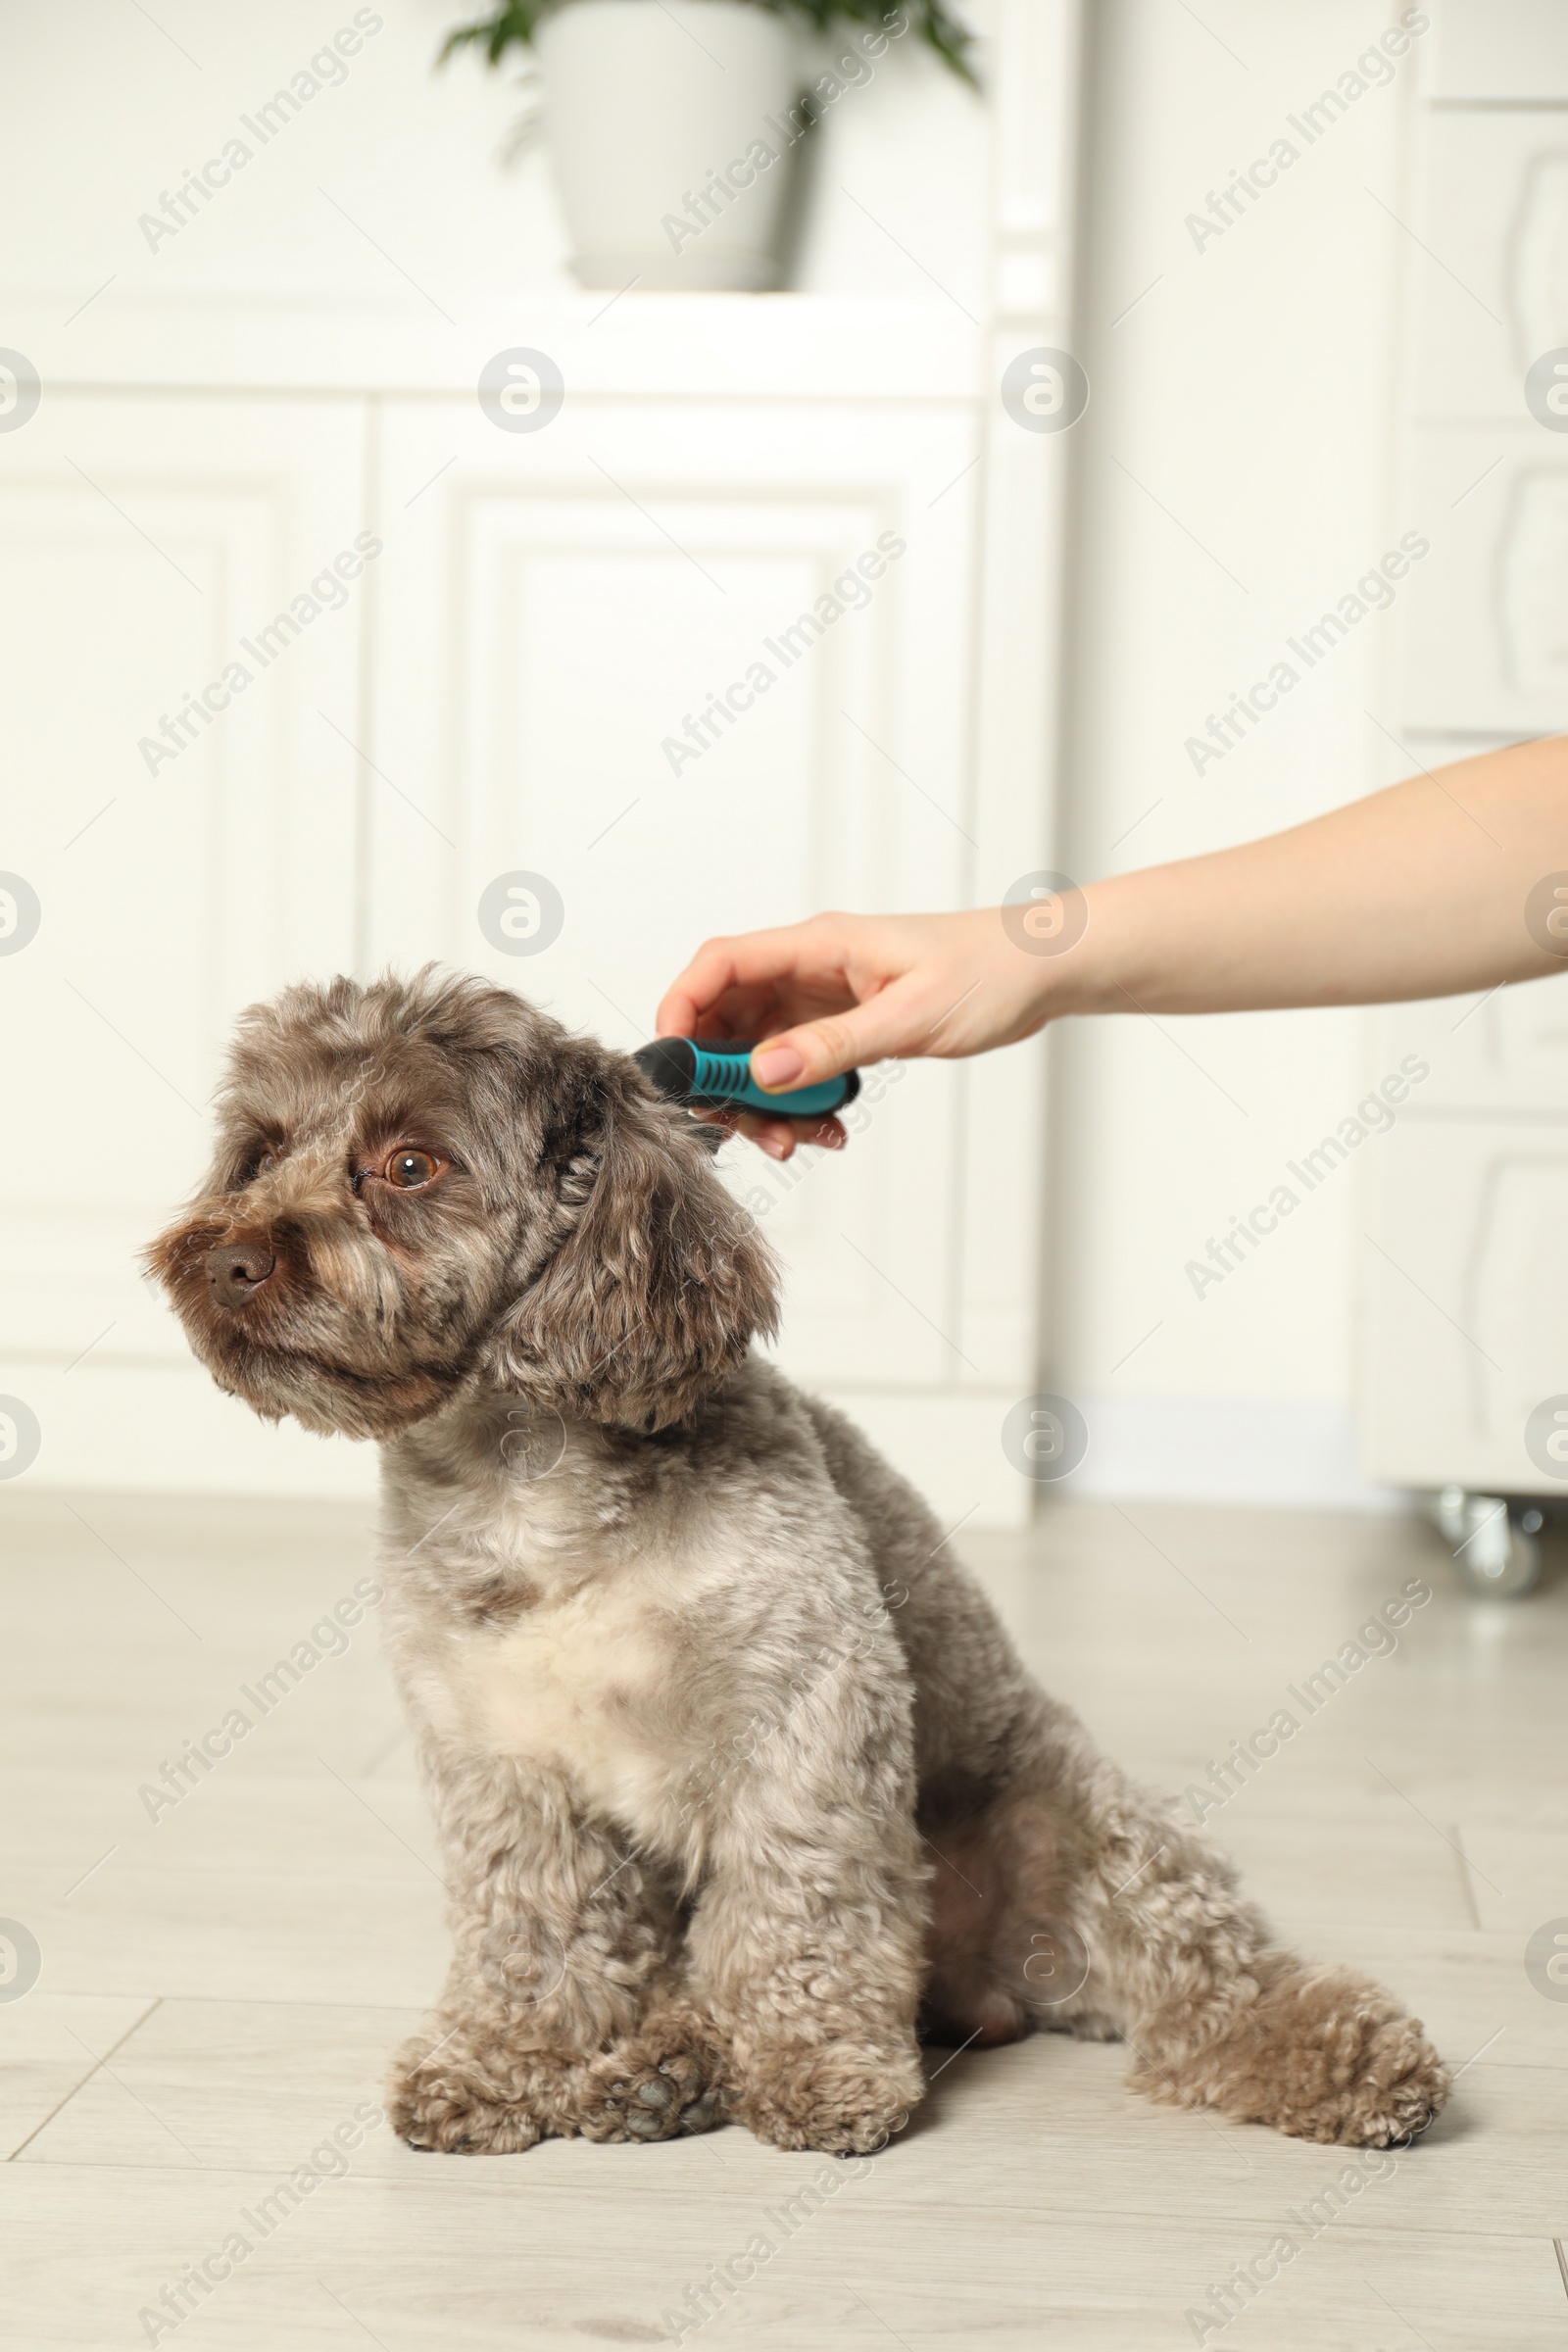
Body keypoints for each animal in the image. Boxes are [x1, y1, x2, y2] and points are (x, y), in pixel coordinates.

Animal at [146, 968, 1447, 2154]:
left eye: (412, 1166)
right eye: (260, 1151)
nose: (229, 1260)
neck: (531, 1482)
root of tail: (979, 1991)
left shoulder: (807, 1718)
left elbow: (797, 1912)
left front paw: (814, 2068)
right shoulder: (503, 1765)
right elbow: (533, 1929)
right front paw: (506, 2060)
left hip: (1090, 1842)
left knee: (1207, 1989)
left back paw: (1340, 2056)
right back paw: (659, 2070)